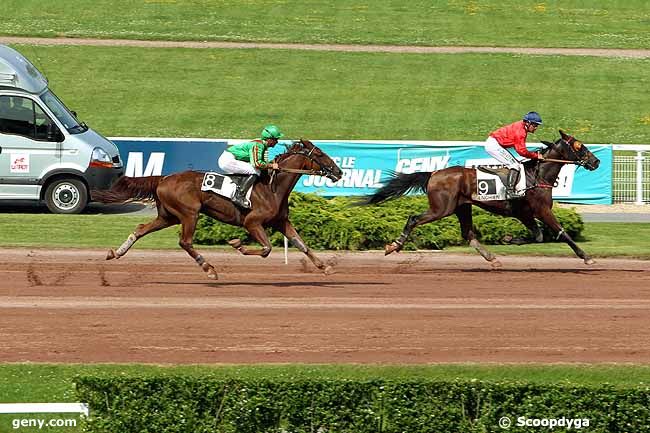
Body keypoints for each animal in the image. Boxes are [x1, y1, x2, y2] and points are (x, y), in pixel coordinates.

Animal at [94, 140, 344, 278]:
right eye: (320, 154)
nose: (339, 171)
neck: (272, 187)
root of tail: (163, 177)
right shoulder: (252, 222)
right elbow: (266, 249)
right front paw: (237, 244)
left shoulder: (281, 221)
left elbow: (301, 244)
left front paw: (325, 267)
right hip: (189, 213)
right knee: (185, 242)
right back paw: (209, 268)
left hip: (169, 216)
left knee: (140, 228)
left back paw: (116, 252)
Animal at [362, 130, 600, 268]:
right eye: (578, 146)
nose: (596, 161)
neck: (538, 176)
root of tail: (434, 173)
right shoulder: (541, 210)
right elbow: (561, 233)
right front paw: (586, 256)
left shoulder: (524, 213)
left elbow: (538, 236)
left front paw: (509, 239)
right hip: (441, 208)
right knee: (413, 219)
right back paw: (394, 246)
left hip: (462, 208)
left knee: (468, 234)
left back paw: (491, 257)